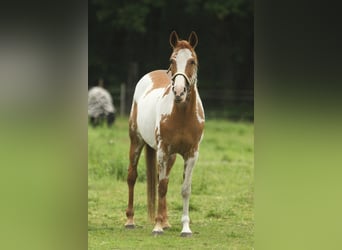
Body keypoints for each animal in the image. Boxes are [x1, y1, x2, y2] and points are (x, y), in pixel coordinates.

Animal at [125, 31, 204, 236]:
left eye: (192, 61)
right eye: (172, 60)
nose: (179, 91)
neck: (182, 114)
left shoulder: (192, 154)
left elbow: (184, 189)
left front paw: (185, 228)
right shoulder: (162, 150)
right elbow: (160, 187)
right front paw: (157, 226)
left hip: (172, 156)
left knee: (165, 181)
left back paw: (167, 221)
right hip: (136, 142)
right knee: (132, 177)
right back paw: (130, 220)